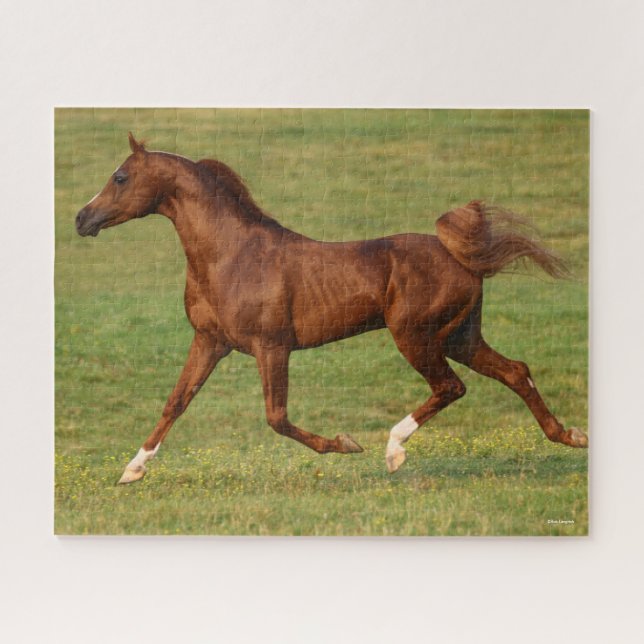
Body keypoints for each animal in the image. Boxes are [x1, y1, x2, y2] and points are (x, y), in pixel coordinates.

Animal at [75, 133, 588, 484]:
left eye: (120, 176)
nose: (82, 218)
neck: (231, 256)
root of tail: (463, 258)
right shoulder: (210, 341)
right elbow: (176, 402)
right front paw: (131, 471)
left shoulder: (272, 347)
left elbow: (277, 417)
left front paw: (345, 444)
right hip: (461, 336)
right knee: (515, 371)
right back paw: (570, 436)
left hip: (415, 335)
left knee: (451, 386)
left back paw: (392, 452)